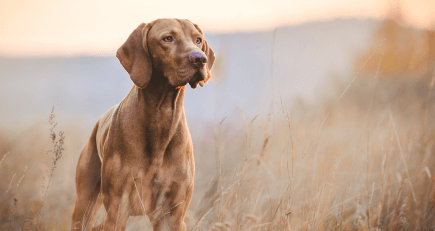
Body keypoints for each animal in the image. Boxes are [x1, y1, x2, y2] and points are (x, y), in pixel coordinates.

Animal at [70, 18, 215, 231]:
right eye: (168, 38)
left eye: (198, 40)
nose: (200, 59)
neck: (161, 116)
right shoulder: (118, 210)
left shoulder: (173, 215)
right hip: (84, 204)